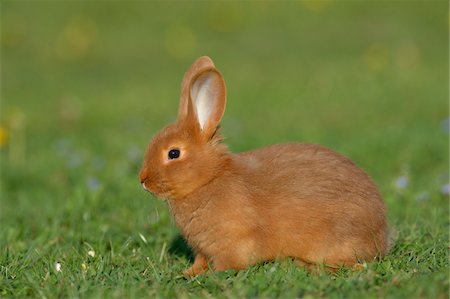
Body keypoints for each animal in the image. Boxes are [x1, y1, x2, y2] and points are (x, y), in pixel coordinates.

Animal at [139, 55, 388, 276]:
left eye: (173, 153)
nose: (143, 180)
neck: (209, 179)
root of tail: (382, 234)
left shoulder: (234, 243)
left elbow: (228, 263)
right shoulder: (203, 250)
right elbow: (200, 262)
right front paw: (188, 273)